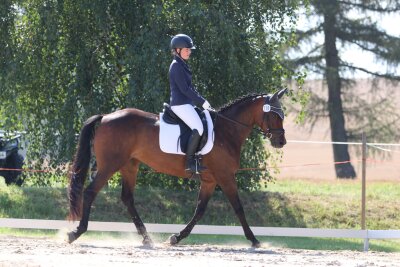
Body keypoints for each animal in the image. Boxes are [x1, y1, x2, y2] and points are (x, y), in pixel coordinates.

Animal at [68, 88, 288, 249]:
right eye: (274, 115)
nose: (281, 142)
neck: (226, 131)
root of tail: (106, 117)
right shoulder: (225, 176)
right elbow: (238, 208)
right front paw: (254, 240)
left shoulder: (210, 180)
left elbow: (200, 210)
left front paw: (176, 237)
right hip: (110, 165)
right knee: (90, 192)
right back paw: (76, 232)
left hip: (129, 166)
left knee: (127, 198)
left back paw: (147, 238)